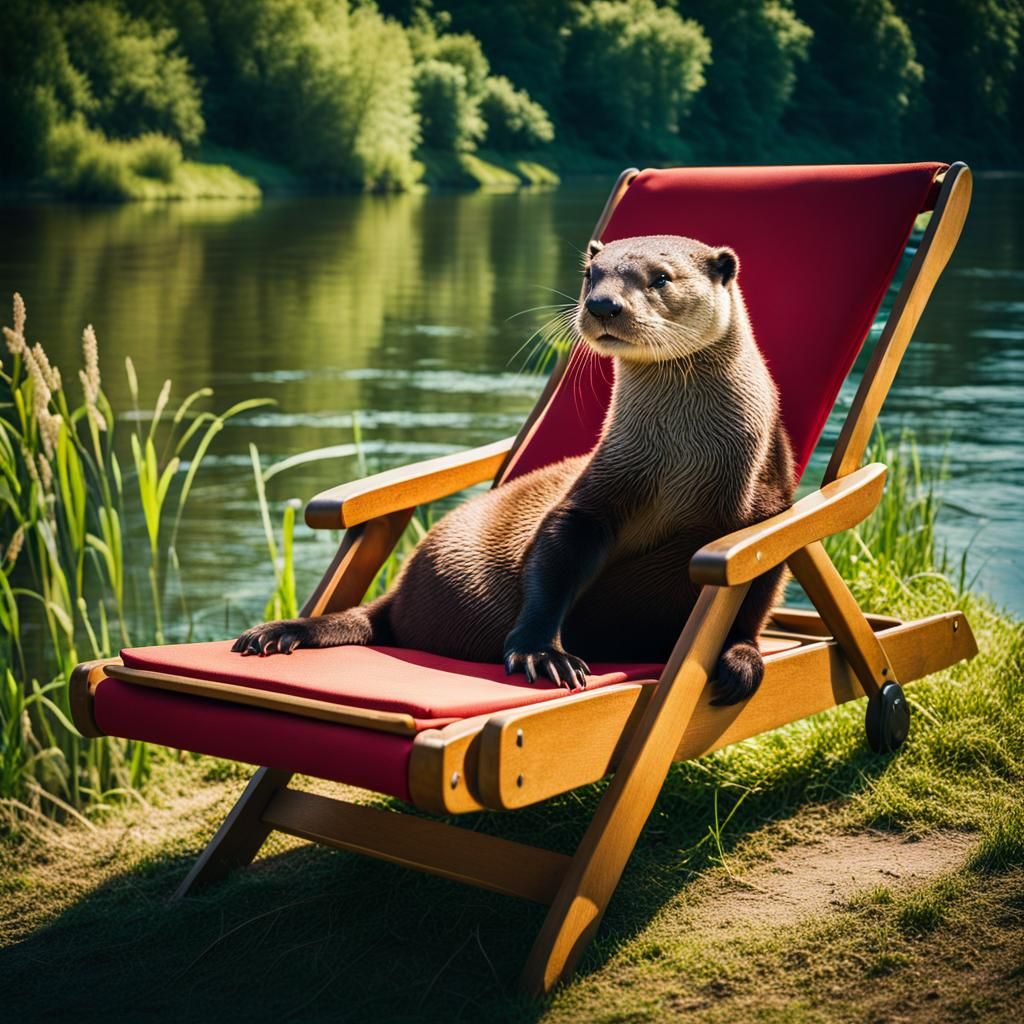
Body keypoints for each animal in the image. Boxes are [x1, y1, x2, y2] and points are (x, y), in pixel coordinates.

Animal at [232, 235, 795, 705]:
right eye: (591, 273)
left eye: (660, 277)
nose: (602, 303)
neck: (683, 465)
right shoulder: (598, 491)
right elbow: (554, 556)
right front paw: (542, 652)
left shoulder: (766, 511)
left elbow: (755, 593)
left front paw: (740, 656)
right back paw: (280, 633)